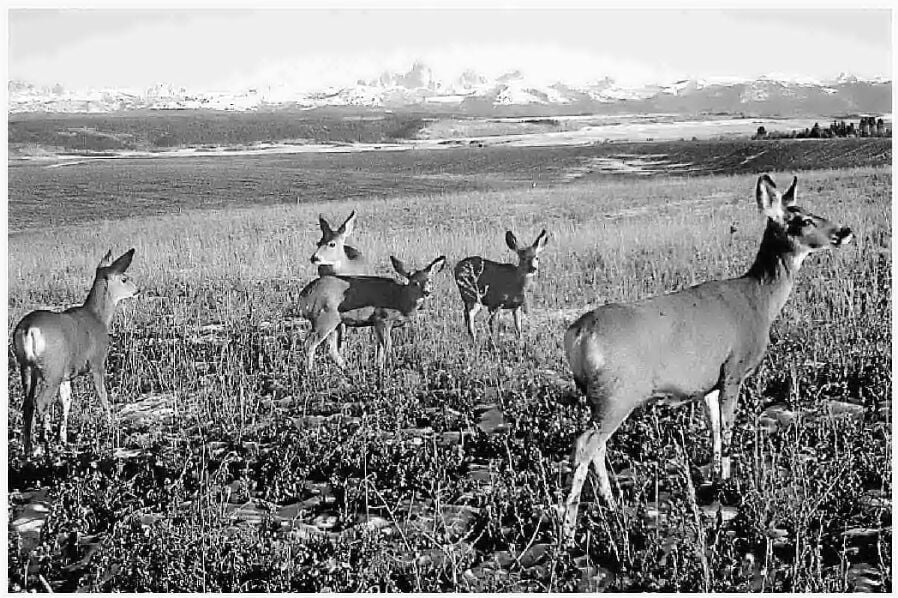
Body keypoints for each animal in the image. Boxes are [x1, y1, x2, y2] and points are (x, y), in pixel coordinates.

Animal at [11, 251, 138, 458]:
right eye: (124, 278)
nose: (137, 290)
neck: (98, 318)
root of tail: (28, 329)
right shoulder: (97, 362)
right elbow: (103, 395)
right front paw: (111, 424)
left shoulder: (66, 375)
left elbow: (66, 402)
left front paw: (63, 439)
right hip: (51, 371)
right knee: (41, 403)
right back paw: (45, 445)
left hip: (27, 368)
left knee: (27, 404)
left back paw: (28, 448)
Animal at [296, 256, 446, 372]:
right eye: (415, 283)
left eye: (430, 280)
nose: (427, 292)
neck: (400, 299)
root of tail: (303, 295)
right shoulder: (383, 318)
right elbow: (387, 346)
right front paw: (389, 367)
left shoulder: (376, 323)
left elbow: (379, 347)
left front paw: (378, 367)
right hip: (324, 318)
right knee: (309, 343)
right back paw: (310, 372)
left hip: (335, 322)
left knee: (331, 348)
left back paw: (346, 368)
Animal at [564, 176, 852, 540]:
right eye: (801, 220)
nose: (844, 231)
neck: (758, 301)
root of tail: (577, 335)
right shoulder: (734, 369)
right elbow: (727, 428)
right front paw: (727, 486)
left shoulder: (709, 383)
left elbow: (714, 427)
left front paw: (716, 477)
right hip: (617, 394)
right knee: (584, 444)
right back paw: (568, 533)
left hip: (600, 398)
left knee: (596, 446)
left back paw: (612, 507)